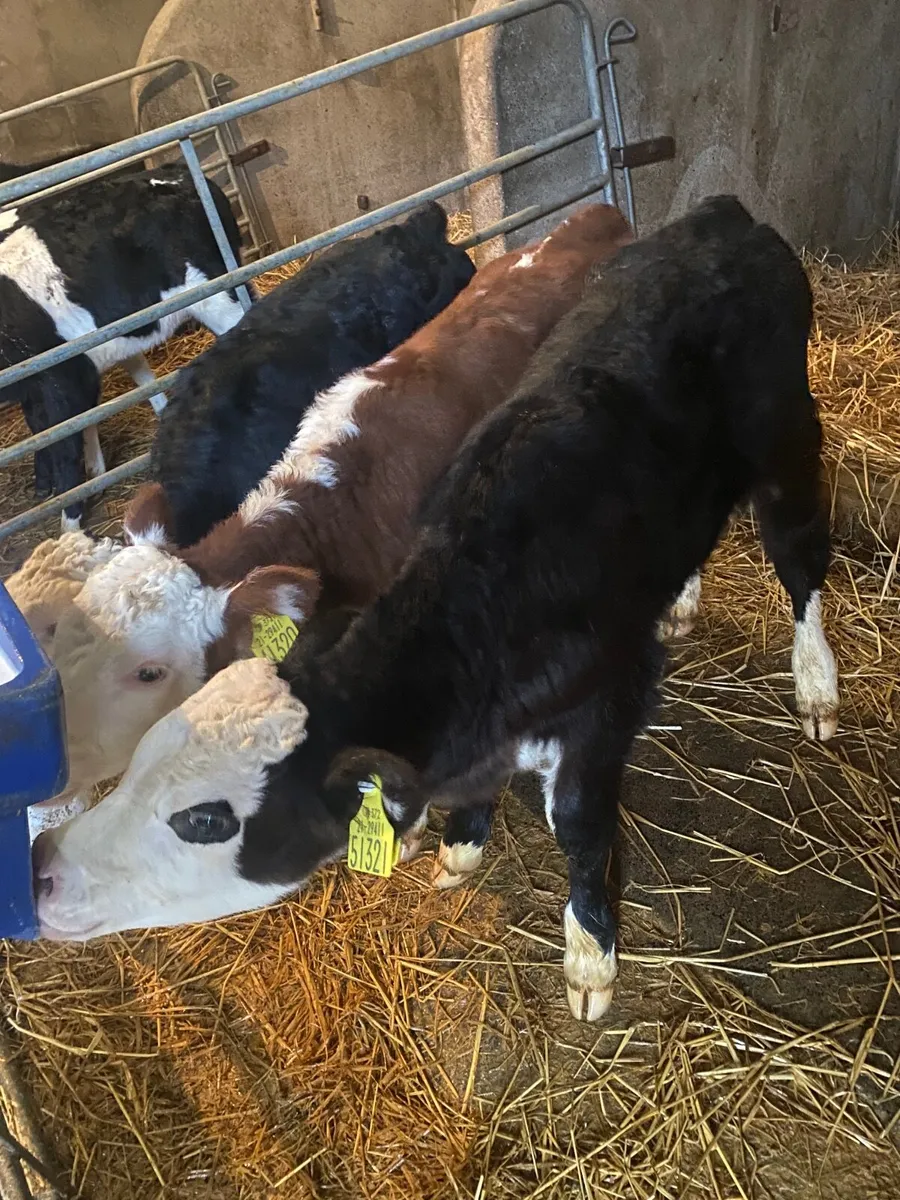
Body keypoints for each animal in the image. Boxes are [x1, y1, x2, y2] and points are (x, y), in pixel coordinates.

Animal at [0, 161, 245, 530]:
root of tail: (177, 172)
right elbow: (51, 430)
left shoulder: (61, 375)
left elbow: (64, 445)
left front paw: (70, 524)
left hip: (219, 295)